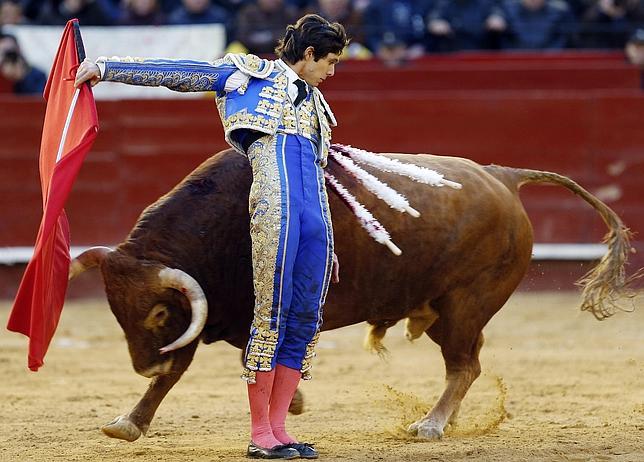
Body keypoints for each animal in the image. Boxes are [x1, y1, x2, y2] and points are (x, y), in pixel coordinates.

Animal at [69, 147, 632, 440]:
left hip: (464, 305)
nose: (144, 366)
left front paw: (130, 421)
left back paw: (430, 424)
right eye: (116, 311)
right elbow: (226, 364)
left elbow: (192, 365)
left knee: (464, 365)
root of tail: (503, 177)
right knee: (467, 363)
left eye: (157, 313)